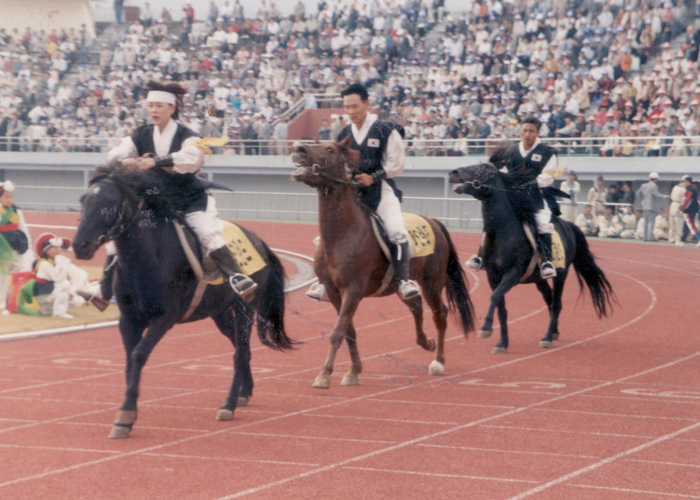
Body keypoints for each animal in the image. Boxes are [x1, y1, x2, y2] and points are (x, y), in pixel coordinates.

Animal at [73, 167, 296, 438]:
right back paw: (245, 392)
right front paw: (127, 413)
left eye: (110, 204)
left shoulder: (164, 318)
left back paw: (229, 404)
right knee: (240, 348)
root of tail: (258, 241)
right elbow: (128, 361)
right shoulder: (128, 320)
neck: (149, 257)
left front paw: (126, 415)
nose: (80, 245)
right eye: (83, 201)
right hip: (221, 313)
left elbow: (138, 355)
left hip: (245, 307)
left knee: (240, 351)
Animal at [290, 139, 476, 388]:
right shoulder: (334, 293)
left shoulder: (353, 291)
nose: (298, 148)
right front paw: (353, 371)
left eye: (330, 149)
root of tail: (433, 221)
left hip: (432, 284)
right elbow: (349, 330)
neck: (343, 234)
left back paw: (438, 361)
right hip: (402, 286)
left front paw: (324, 374)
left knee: (440, 314)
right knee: (416, 305)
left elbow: (338, 331)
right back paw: (426, 342)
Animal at [448, 162, 612, 354]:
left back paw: (547, 337)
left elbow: (494, 297)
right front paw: (502, 343)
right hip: (539, 280)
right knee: (550, 300)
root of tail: (569, 226)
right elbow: (501, 308)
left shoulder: (513, 273)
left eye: (483, 170)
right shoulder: (493, 276)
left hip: (561, 274)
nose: (454, 173)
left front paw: (486, 327)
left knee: (557, 303)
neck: (503, 231)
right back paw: (554, 332)